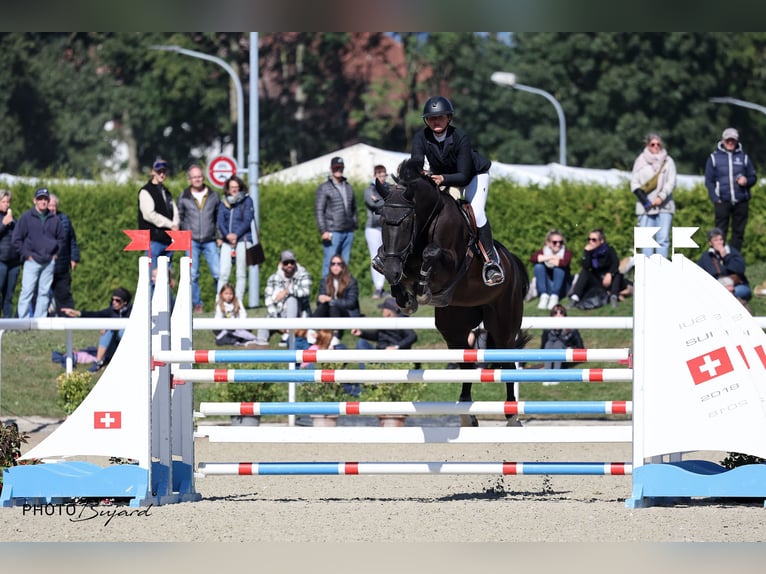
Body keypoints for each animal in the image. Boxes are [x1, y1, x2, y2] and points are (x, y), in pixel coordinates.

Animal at [376, 158, 532, 428]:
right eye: (382, 220)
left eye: (406, 221)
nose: (394, 271)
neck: (427, 222)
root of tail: (512, 263)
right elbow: (390, 263)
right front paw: (405, 297)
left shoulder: (450, 262)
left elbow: (430, 253)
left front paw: (422, 290)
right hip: (454, 325)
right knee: (466, 363)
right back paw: (467, 413)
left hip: (503, 322)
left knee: (507, 360)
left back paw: (512, 415)